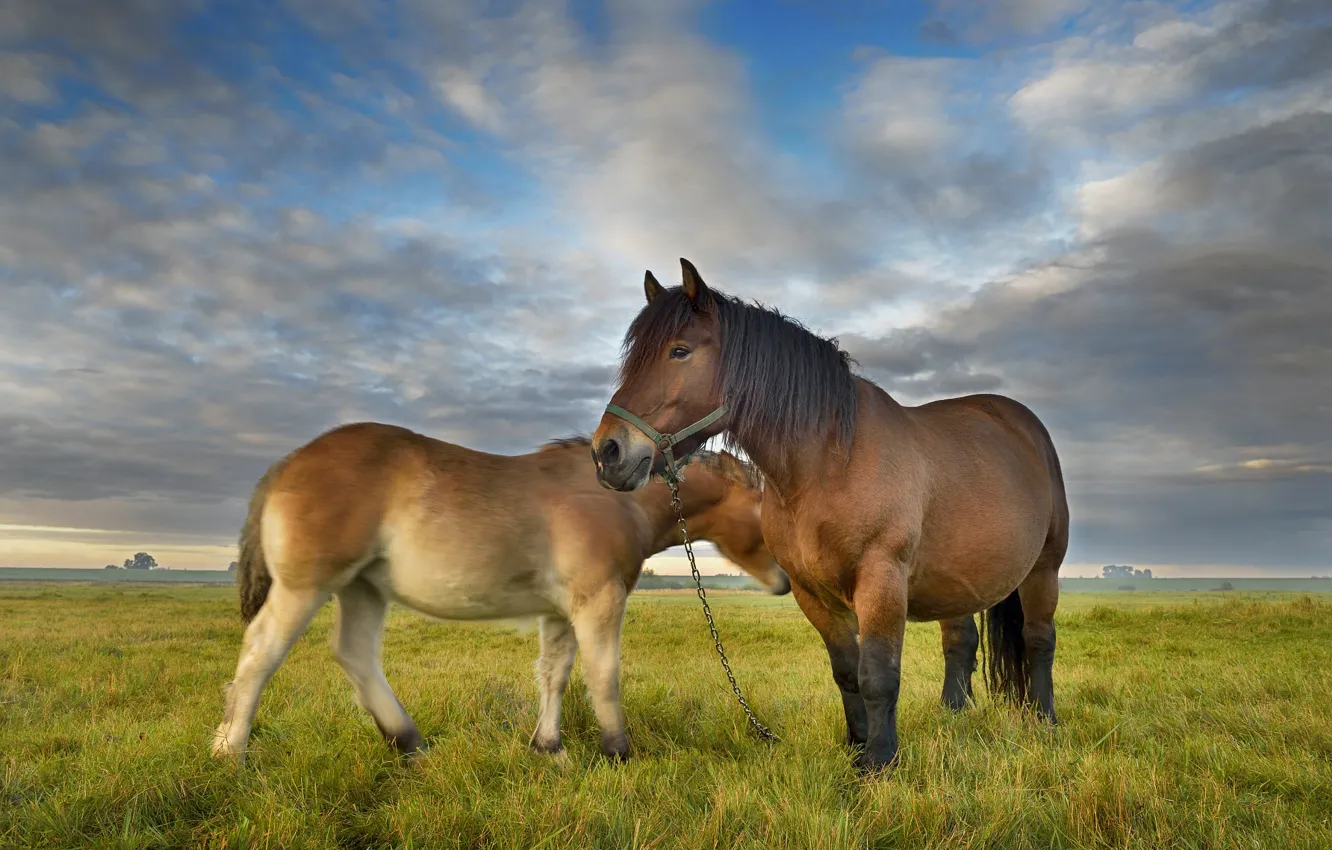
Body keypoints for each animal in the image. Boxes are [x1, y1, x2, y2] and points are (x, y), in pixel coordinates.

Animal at [210, 421, 788, 764]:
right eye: (770, 503)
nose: (787, 580)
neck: (614, 498)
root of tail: (288, 463)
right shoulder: (598, 601)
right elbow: (604, 675)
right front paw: (618, 750)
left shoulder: (561, 613)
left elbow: (554, 675)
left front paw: (548, 747)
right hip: (306, 586)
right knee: (261, 654)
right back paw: (230, 750)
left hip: (362, 589)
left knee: (355, 654)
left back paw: (408, 741)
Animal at [590, 259, 1069, 774]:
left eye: (679, 351)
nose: (607, 452)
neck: (827, 465)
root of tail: (1025, 427)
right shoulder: (811, 593)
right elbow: (847, 673)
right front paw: (857, 749)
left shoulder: (881, 580)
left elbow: (878, 674)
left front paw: (880, 762)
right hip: (957, 582)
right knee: (960, 642)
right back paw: (952, 716)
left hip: (1043, 570)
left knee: (1039, 641)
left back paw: (1045, 721)